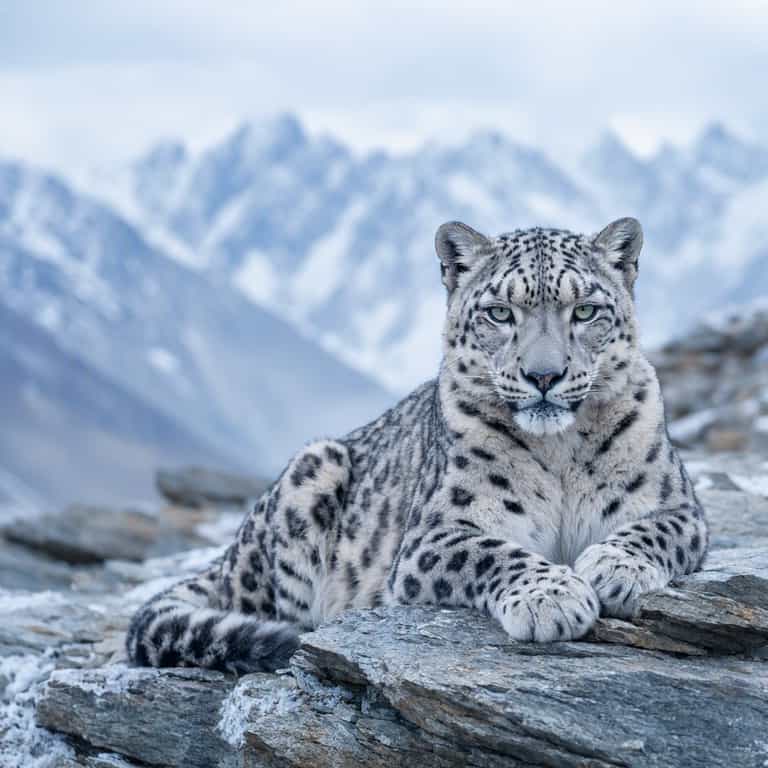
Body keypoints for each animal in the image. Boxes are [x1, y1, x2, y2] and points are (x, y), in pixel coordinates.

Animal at [127, 217, 708, 673]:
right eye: (500, 313)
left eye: (585, 311)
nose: (544, 375)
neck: (558, 452)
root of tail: (230, 555)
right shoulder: (435, 532)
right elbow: (492, 551)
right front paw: (553, 598)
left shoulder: (677, 504)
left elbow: (653, 530)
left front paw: (615, 568)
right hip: (311, 473)